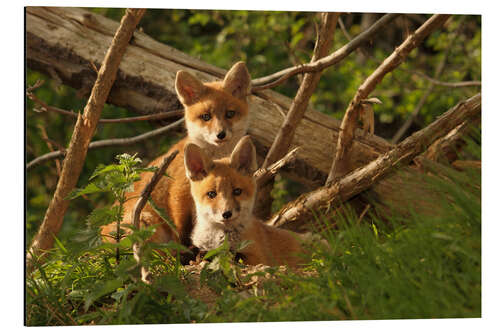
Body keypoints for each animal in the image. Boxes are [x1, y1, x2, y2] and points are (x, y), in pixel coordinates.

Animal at [184, 135, 308, 268]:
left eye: (237, 191)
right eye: (211, 194)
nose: (226, 214)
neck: (218, 237)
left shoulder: (257, 258)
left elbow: (229, 254)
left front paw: (208, 255)